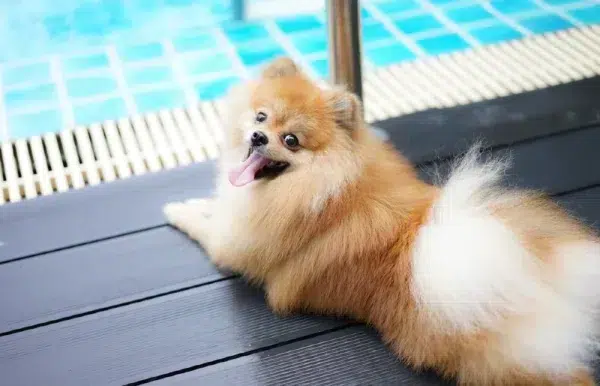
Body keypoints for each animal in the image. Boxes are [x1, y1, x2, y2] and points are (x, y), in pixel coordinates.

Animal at [164, 58, 600, 386]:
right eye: (260, 116)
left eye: (290, 140)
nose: (257, 137)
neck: (314, 186)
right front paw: (201, 200)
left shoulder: (235, 246)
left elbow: (205, 227)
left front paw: (177, 210)